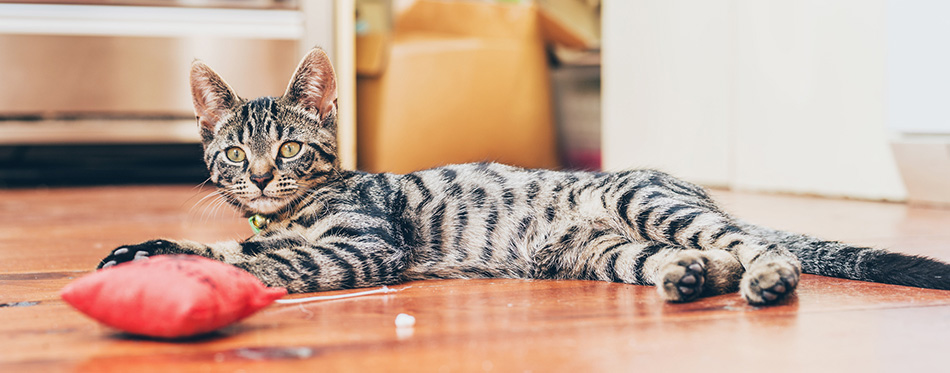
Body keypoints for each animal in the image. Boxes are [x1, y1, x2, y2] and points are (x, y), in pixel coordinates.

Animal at [98, 48, 950, 304]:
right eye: (234, 154)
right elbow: (231, 247)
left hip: (639, 198)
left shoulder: (361, 245)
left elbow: (270, 261)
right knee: (708, 256)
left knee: (750, 242)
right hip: (599, 251)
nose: (259, 178)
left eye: (289, 150)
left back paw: (767, 275)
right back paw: (690, 276)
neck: (283, 213)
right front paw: (153, 253)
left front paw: (211, 266)